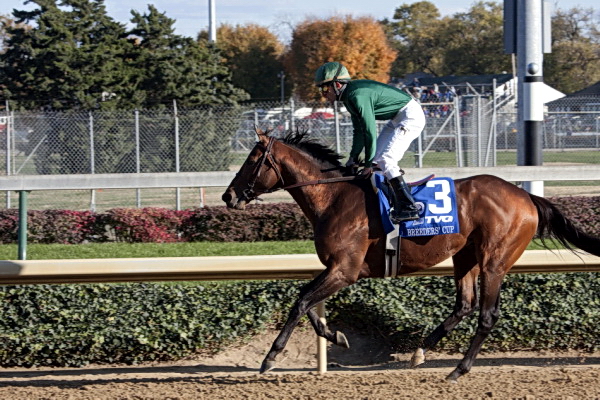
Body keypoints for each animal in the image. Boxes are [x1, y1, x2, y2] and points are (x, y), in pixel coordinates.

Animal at [221, 128, 600, 382]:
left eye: (252, 160)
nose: (228, 196)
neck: (335, 197)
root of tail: (526, 197)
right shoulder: (335, 268)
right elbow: (306, 301)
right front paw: (336, 336)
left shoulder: (345, 270)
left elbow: (301, 302)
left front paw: (271, 357)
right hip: (464, 257)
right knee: (464, 305)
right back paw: (421, 350)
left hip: (494, 261)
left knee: (487, 315)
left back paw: (459, 369)